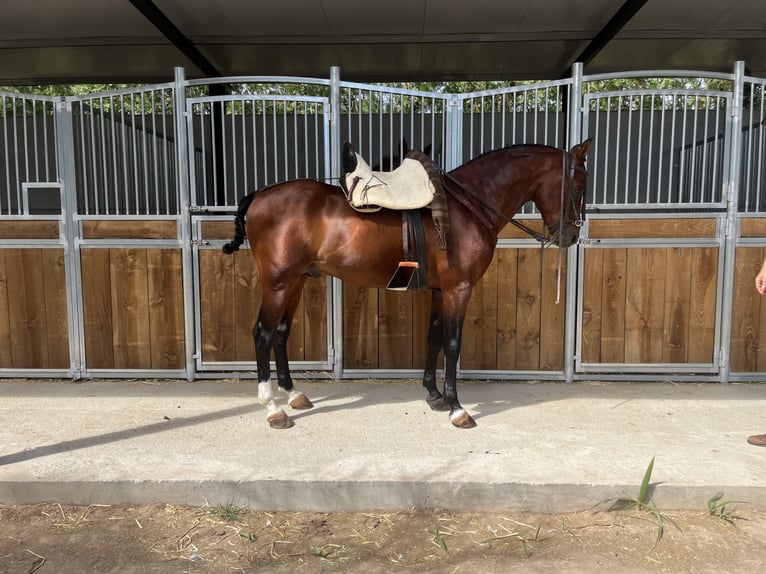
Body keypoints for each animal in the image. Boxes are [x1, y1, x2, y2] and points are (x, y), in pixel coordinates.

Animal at [222, 138, 592, 428]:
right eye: (577, 187)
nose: (571, 236)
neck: (466, 207)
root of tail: (259, 195)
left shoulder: (441, 291)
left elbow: (434, 338)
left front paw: (435, 395)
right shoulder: (459, 289)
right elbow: (452, 344)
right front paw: (457, 409)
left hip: (295, 281)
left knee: (280, 334)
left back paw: (294, 394)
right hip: (278, 283)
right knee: (263, 333)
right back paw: (273, 409)